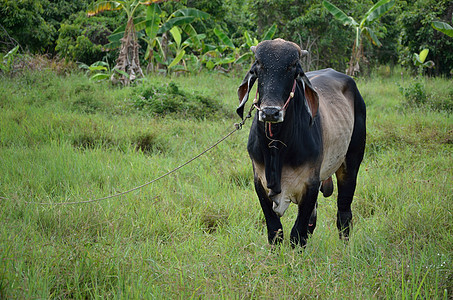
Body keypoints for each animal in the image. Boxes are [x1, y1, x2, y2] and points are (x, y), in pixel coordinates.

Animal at [235, 38, 366, 247]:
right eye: (259, 66)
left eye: (292, 67)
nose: (271, 112)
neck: (277, 145)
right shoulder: (259, 182)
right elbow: (275, 231)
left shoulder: (310, 184)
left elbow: (297, 234)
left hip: (351, 163)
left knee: (344, 212)